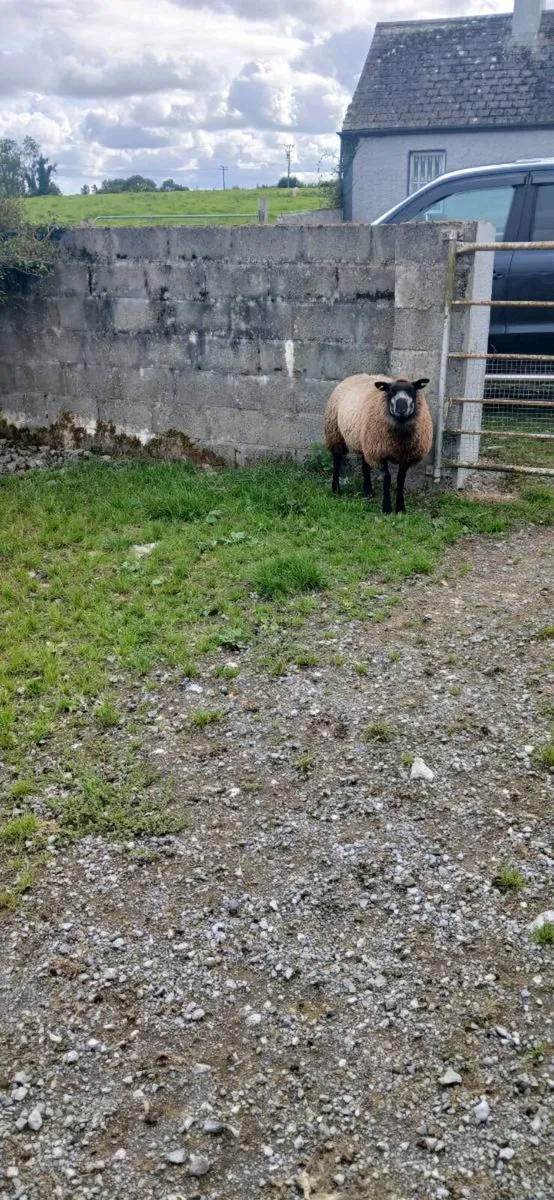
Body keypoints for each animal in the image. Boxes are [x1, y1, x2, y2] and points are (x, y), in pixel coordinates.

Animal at [324, 374, 432, 514]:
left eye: (412, 391)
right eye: (390, 392)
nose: (401, 409)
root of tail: (355, 375)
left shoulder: (406, 457)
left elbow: (400, 480)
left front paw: (400, 508)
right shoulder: (379, 453)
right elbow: (387, 477)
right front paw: (387, 508)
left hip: (365, 443)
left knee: (365, 467)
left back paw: (368, 492)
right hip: (335, 433)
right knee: (336, 461)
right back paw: (336, 489)